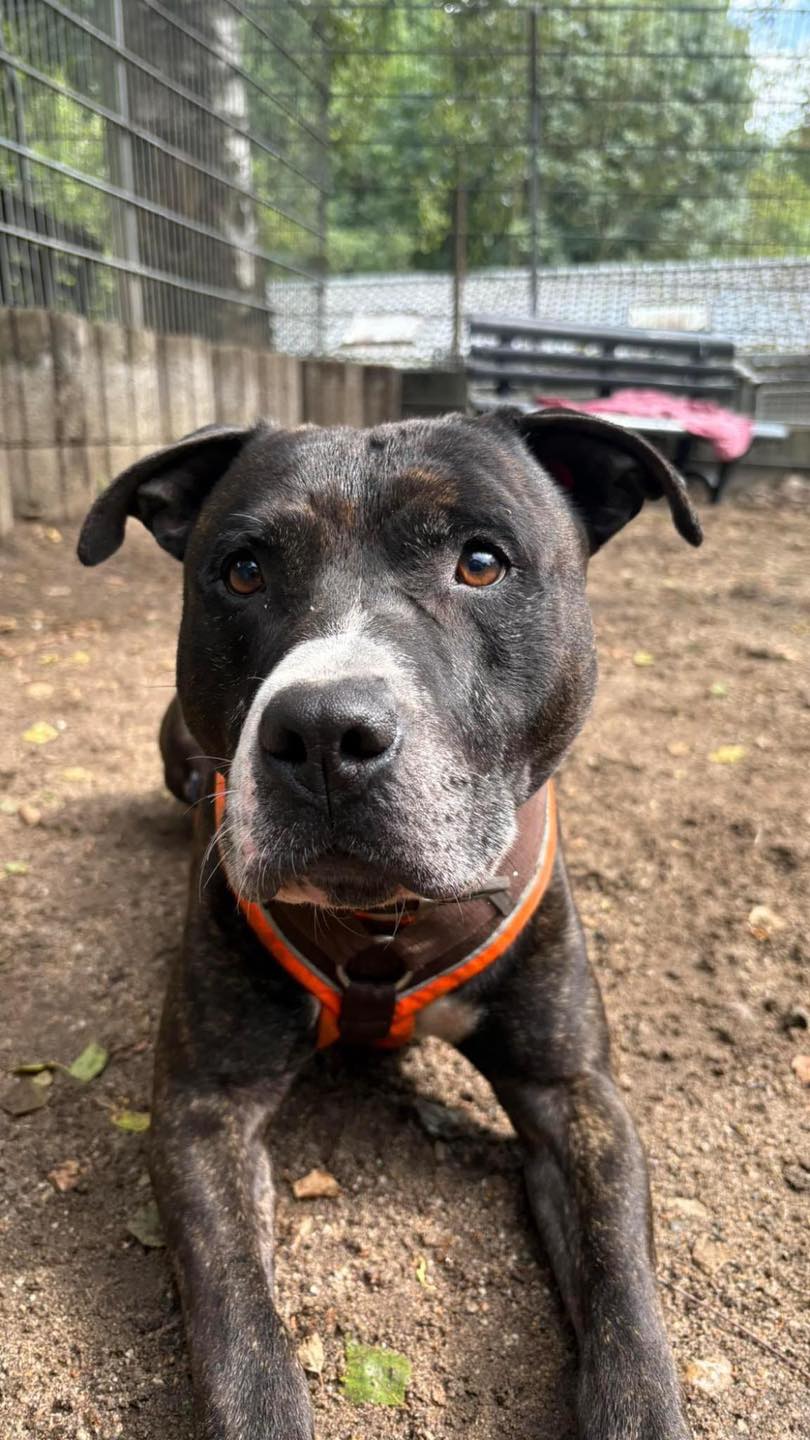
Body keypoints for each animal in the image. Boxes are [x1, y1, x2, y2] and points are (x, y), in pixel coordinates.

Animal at [78, 406, 702, 1440]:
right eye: (242, 571)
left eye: (481, 562)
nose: (324, 731)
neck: (382, 923)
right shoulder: (204, 1111)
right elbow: (239, 1331)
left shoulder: (576, 1097)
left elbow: (627, 1306)